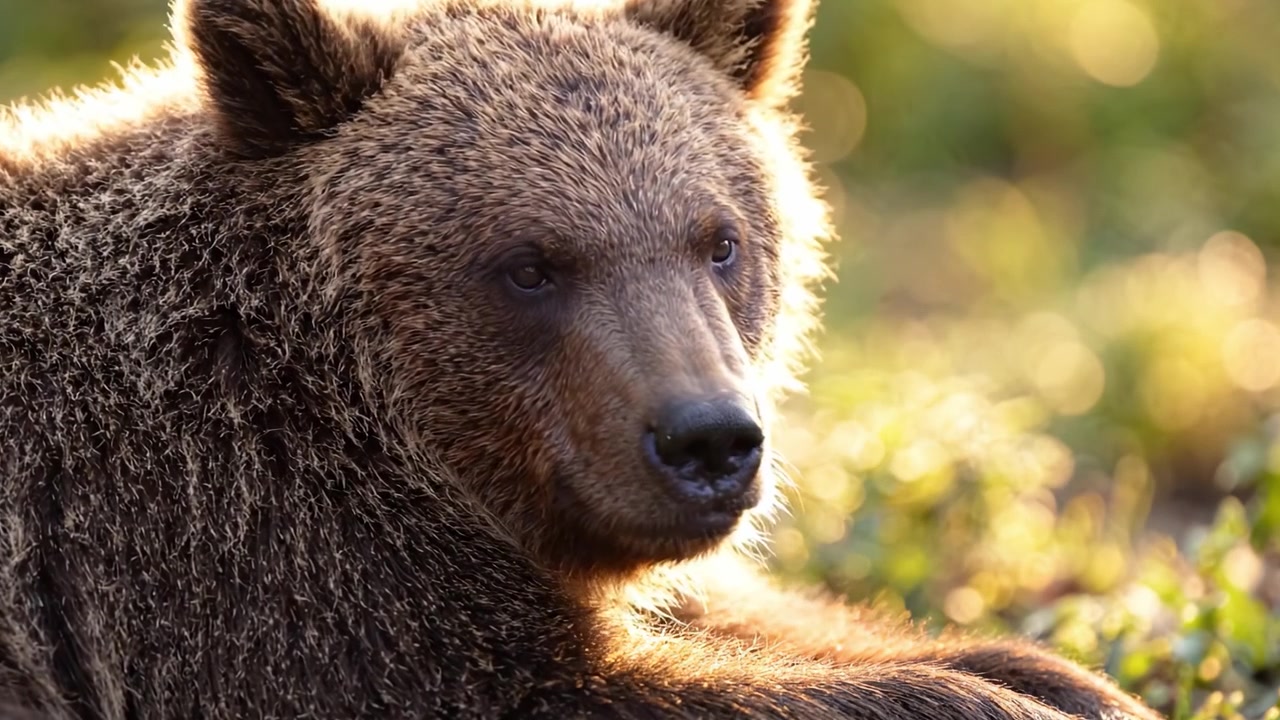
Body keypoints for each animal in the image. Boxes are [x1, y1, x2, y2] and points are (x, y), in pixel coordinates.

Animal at [0, 0, 1164, 718]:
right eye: (529, 264)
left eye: (718, 239)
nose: (710, 440)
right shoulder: (246, 563)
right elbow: (562, 682)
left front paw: (1061, 676)